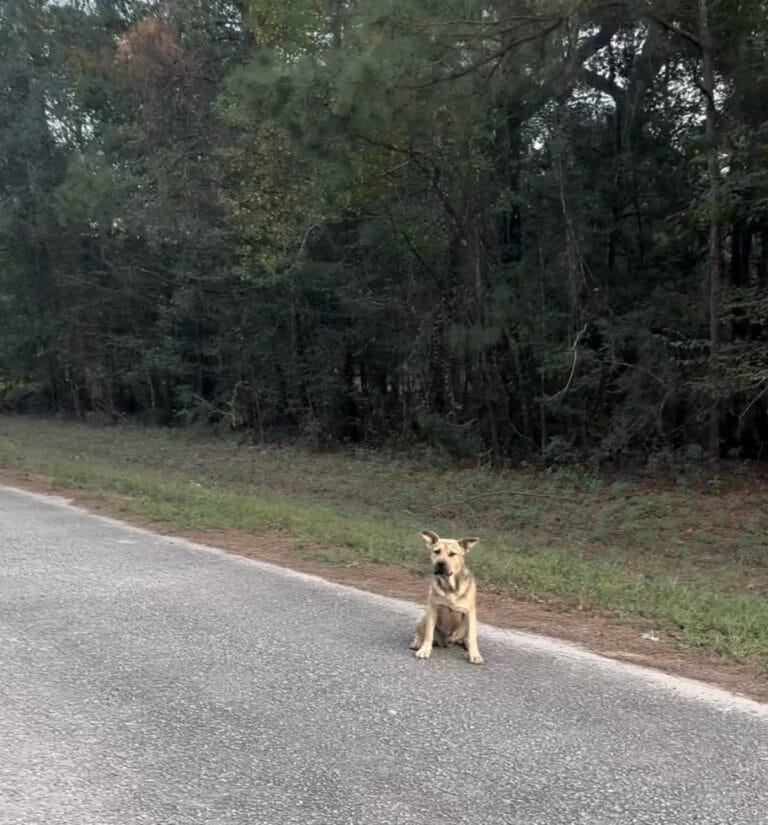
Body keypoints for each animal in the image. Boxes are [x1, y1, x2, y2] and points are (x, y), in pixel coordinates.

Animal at [412, 532, 484, 668]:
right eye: (436, 551)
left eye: (452, 554)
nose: (440, 563)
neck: (449, 585)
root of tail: (447, 641)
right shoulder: (432, 610)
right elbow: (428, 634)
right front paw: (425, 649)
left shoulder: (470, 613)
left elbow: (472, 638)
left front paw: (474, 655)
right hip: (424, 616)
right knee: (421, 633)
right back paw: (417, 642)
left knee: (467, 636)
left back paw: (465, 643)